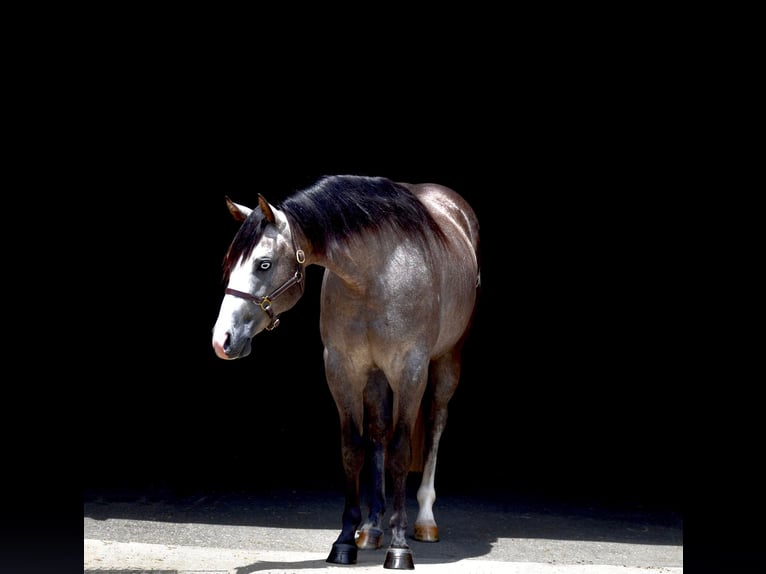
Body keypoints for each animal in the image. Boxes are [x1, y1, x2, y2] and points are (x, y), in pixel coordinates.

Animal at [210, 176, 484, 572]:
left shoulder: (410, 369)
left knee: (434, 426)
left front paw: (399, 547)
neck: (375, 275)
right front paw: (345, 540)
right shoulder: (344, 369)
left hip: (446, 361)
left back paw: (424, 521)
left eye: (263, 264)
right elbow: (354, 448)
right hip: (376, 377)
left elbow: (401, 452)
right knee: (379, 433)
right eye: (230, 264)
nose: (222, 340)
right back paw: (371, 528)